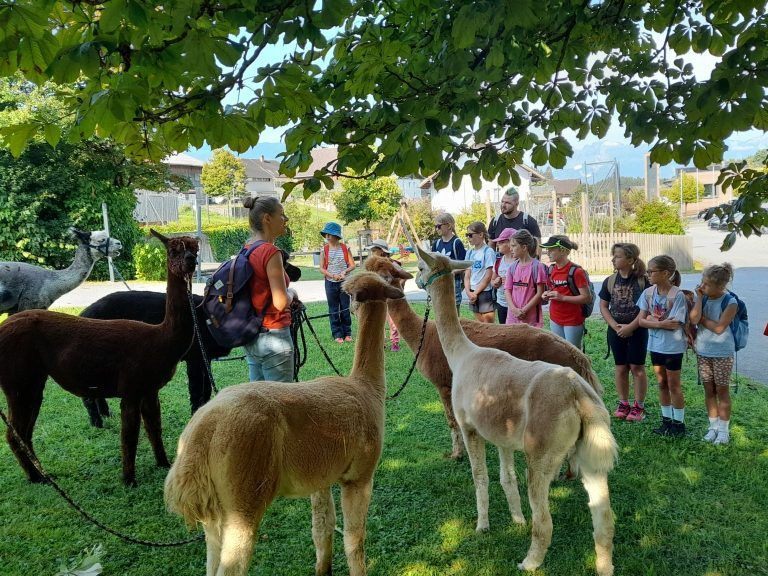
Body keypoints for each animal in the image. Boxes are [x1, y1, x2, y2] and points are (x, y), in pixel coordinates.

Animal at [164, 270, 407, 576]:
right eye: (388, 276)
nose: (349, 309)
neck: (367, 388)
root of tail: (202, 430)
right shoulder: (359, 476)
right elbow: (354, 539)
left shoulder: (321, 476)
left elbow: (322, 530)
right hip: (243, 497)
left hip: (215, 510)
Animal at [363, 255, 603, 459]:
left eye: (378, 275)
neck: (424, 336)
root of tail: (578, 357)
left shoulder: (443, 384)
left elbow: (452, 421)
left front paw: (456, 454)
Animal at [413, 247, 617, 576]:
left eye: (421, 265)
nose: (417, 280)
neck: (462, 356)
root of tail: (579, 395)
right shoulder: (502, 435)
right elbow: (506, 478)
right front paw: (516, 519)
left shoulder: (470, 426)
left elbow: (480, 476)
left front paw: (482, 526)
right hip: (591, 452)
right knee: (604, 517)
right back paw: (604, 566)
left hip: (541, 451)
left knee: (545, 521)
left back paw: (529, 562)